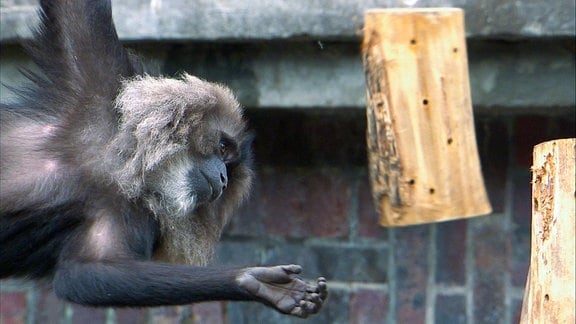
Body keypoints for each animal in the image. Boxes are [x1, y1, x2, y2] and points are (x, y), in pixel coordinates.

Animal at [0, 0, 328, 316]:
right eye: (223, 149)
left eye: (230, 168)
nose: (223, 178)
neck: (119, 168)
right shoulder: (97, 84)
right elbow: (76, 9)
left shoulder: (135, 216)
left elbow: (86, 274)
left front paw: (255, 282)